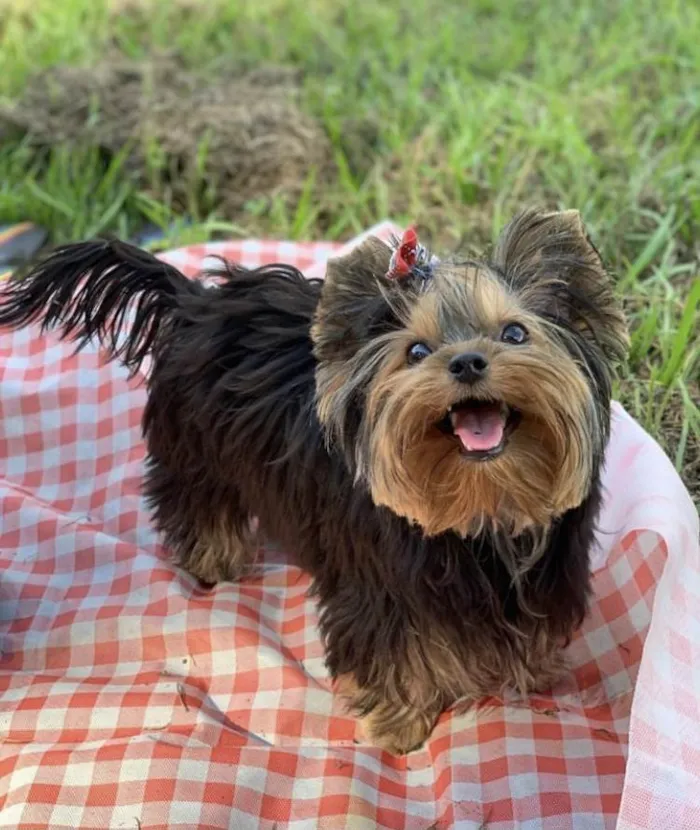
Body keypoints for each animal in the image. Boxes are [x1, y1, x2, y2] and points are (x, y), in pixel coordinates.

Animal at [0, 210, 628, 752]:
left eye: (515, 334)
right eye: (416, 350)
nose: (468, 361)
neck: (484, 505)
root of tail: (194, 300)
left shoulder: (546, 575)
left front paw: (535, 672)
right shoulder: (382, 590)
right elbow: (396, 656)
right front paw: (400, 728)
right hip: (197, 451)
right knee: (201, 505)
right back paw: (215, 562)